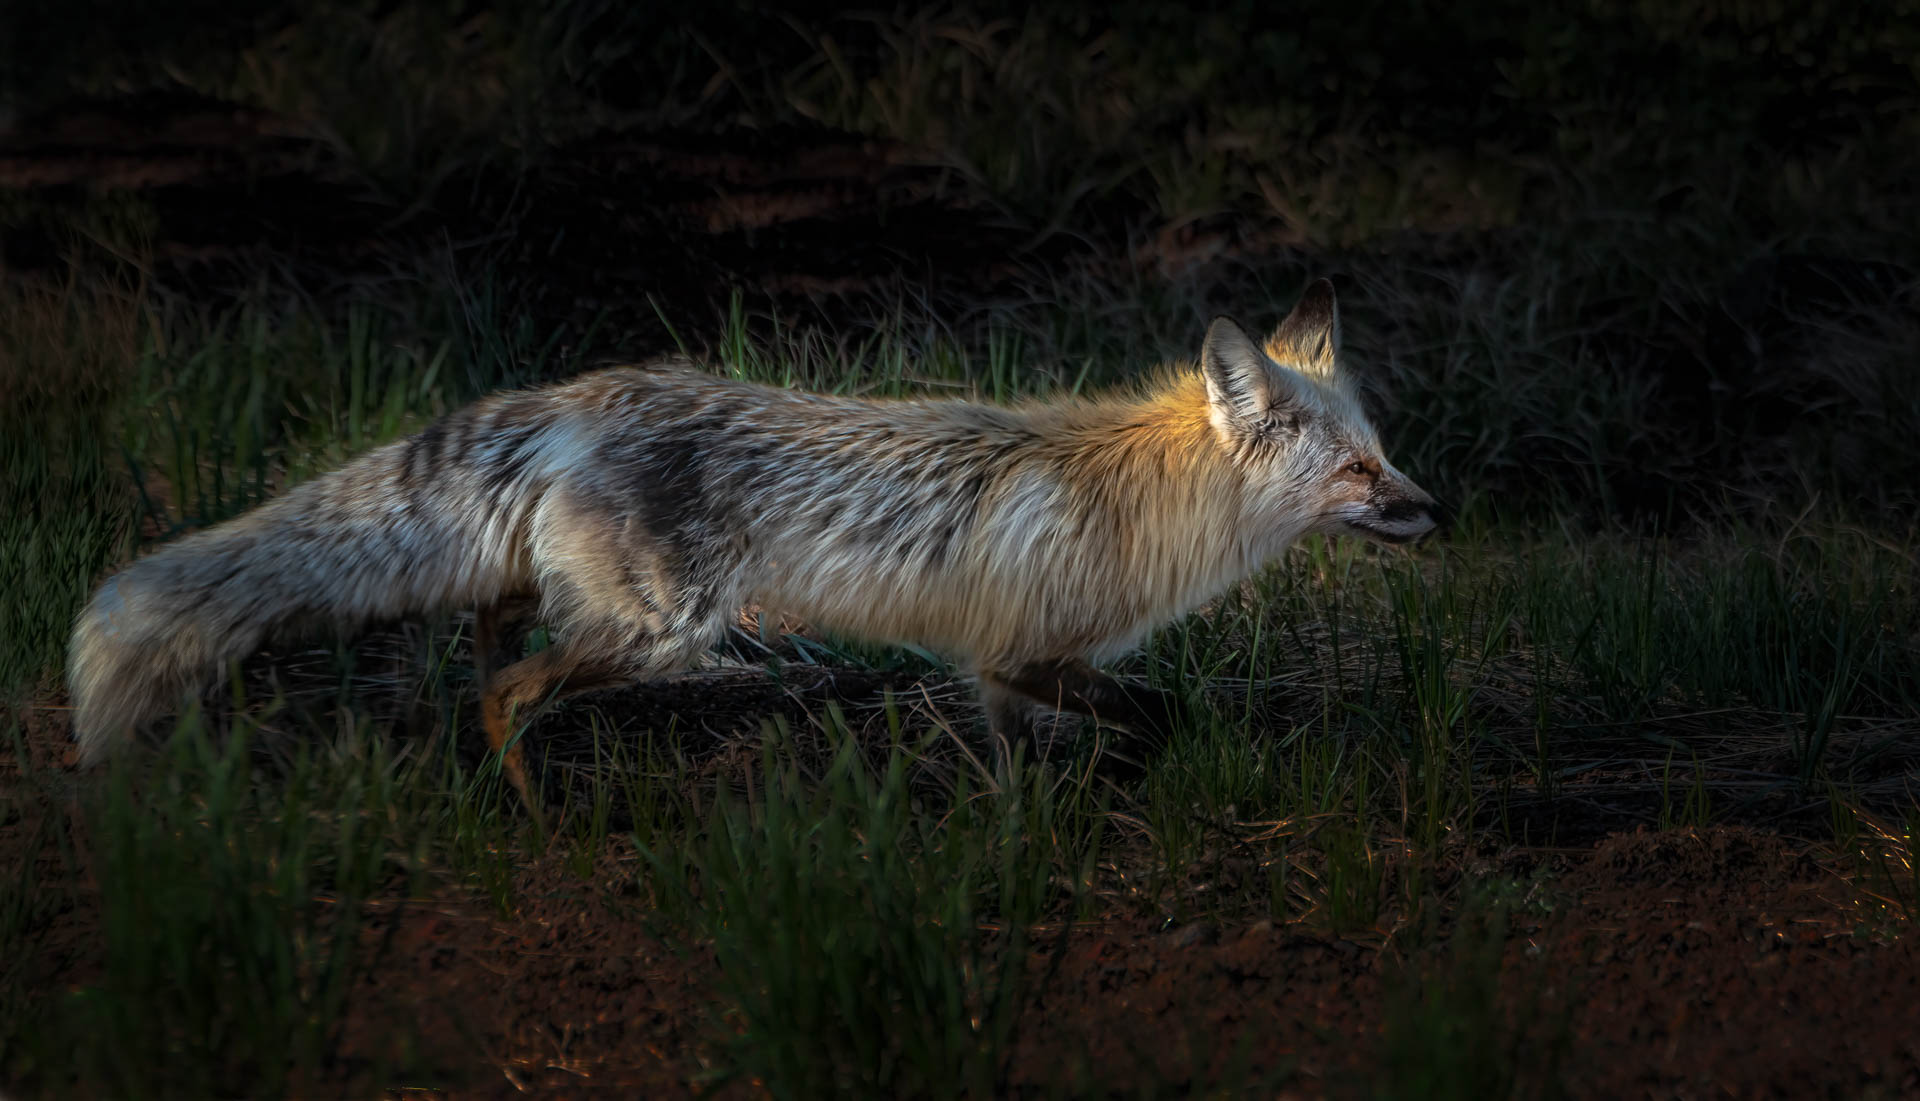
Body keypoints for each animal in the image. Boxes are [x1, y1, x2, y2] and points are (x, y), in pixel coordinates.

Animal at [63, 276, 1443, 807]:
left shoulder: (1002, 668)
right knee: (509, 688)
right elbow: (1154, 713)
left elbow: (1029, 758)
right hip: (660, 632)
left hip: (597, 605)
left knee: (490, 628)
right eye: (1362, 470)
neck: (1143, 498)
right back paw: (533, 809)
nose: (1437, 512)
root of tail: (580, 395)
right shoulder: (1022, 653)